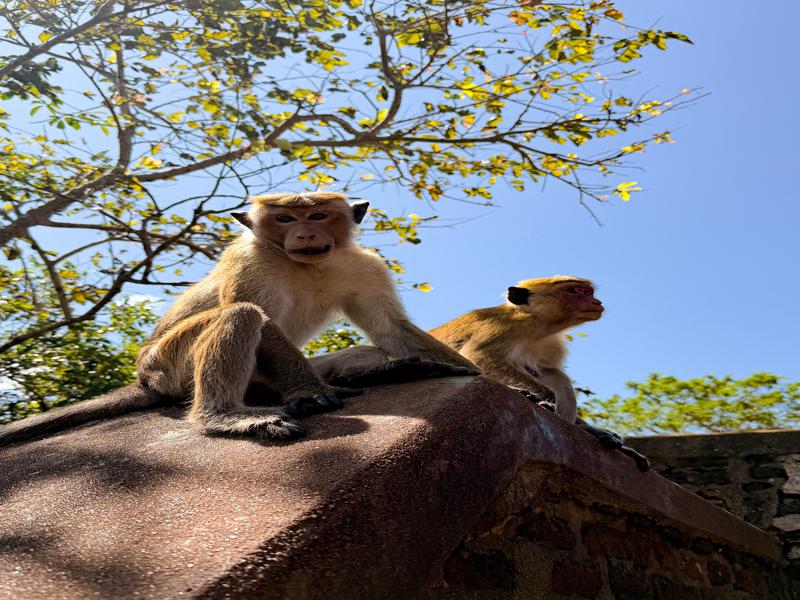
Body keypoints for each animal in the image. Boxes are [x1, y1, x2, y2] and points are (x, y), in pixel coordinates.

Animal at [0, 192, 477, 448]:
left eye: (316, 214)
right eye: (284, 217)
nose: (305, 232)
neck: (305, 264)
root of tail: (143, 378)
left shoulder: (364, 266)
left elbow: (389, 329)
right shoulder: (251, 260)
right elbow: (258, 316)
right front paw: (312, 393)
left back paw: (393, 371)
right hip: (167, 366)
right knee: (242, 316)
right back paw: (226, 416)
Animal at [429, 276, 650, 471]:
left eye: (589, 292)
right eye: (573, 291)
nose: (597, 302)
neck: (540, 326)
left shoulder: (552, 345)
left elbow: (546, 370)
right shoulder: (509, 326)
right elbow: (481, 355)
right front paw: (545, 398)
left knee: (554, 374)